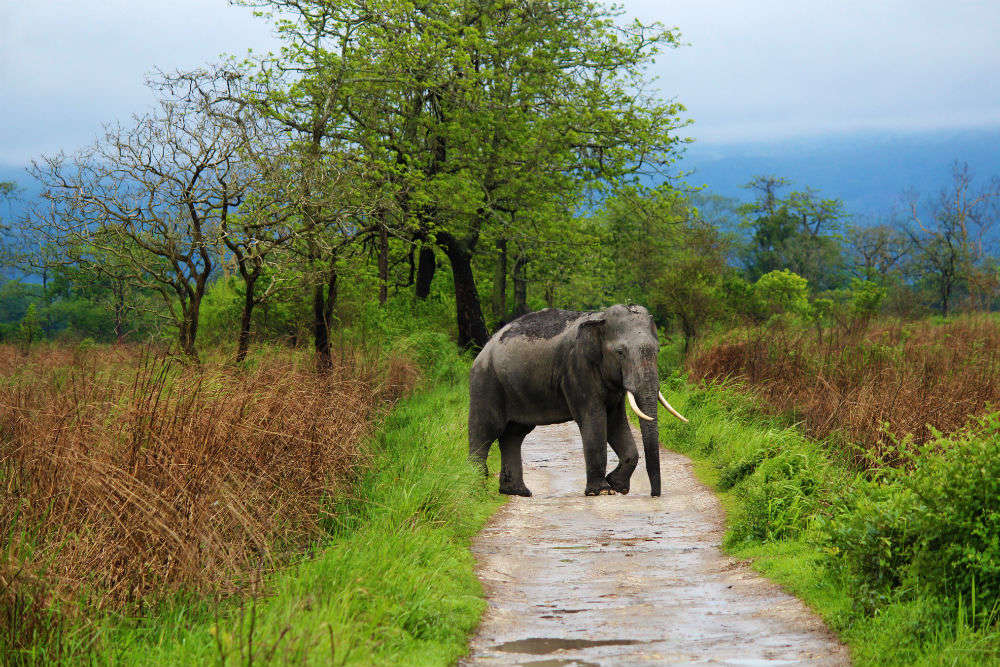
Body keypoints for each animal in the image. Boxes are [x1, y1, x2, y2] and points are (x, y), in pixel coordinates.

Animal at [468, 306, 688, 498]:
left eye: (657, 351)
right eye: (620, 352)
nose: (654, 495)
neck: (601, 317)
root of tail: (484, 349)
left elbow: (615, 422)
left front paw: (617, 486)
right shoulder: (578, 369)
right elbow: (594, 419)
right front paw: (602, 491)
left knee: (513, 434)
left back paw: (517, 492)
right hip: (487, 382)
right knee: (485, 430)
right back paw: (478, 491)